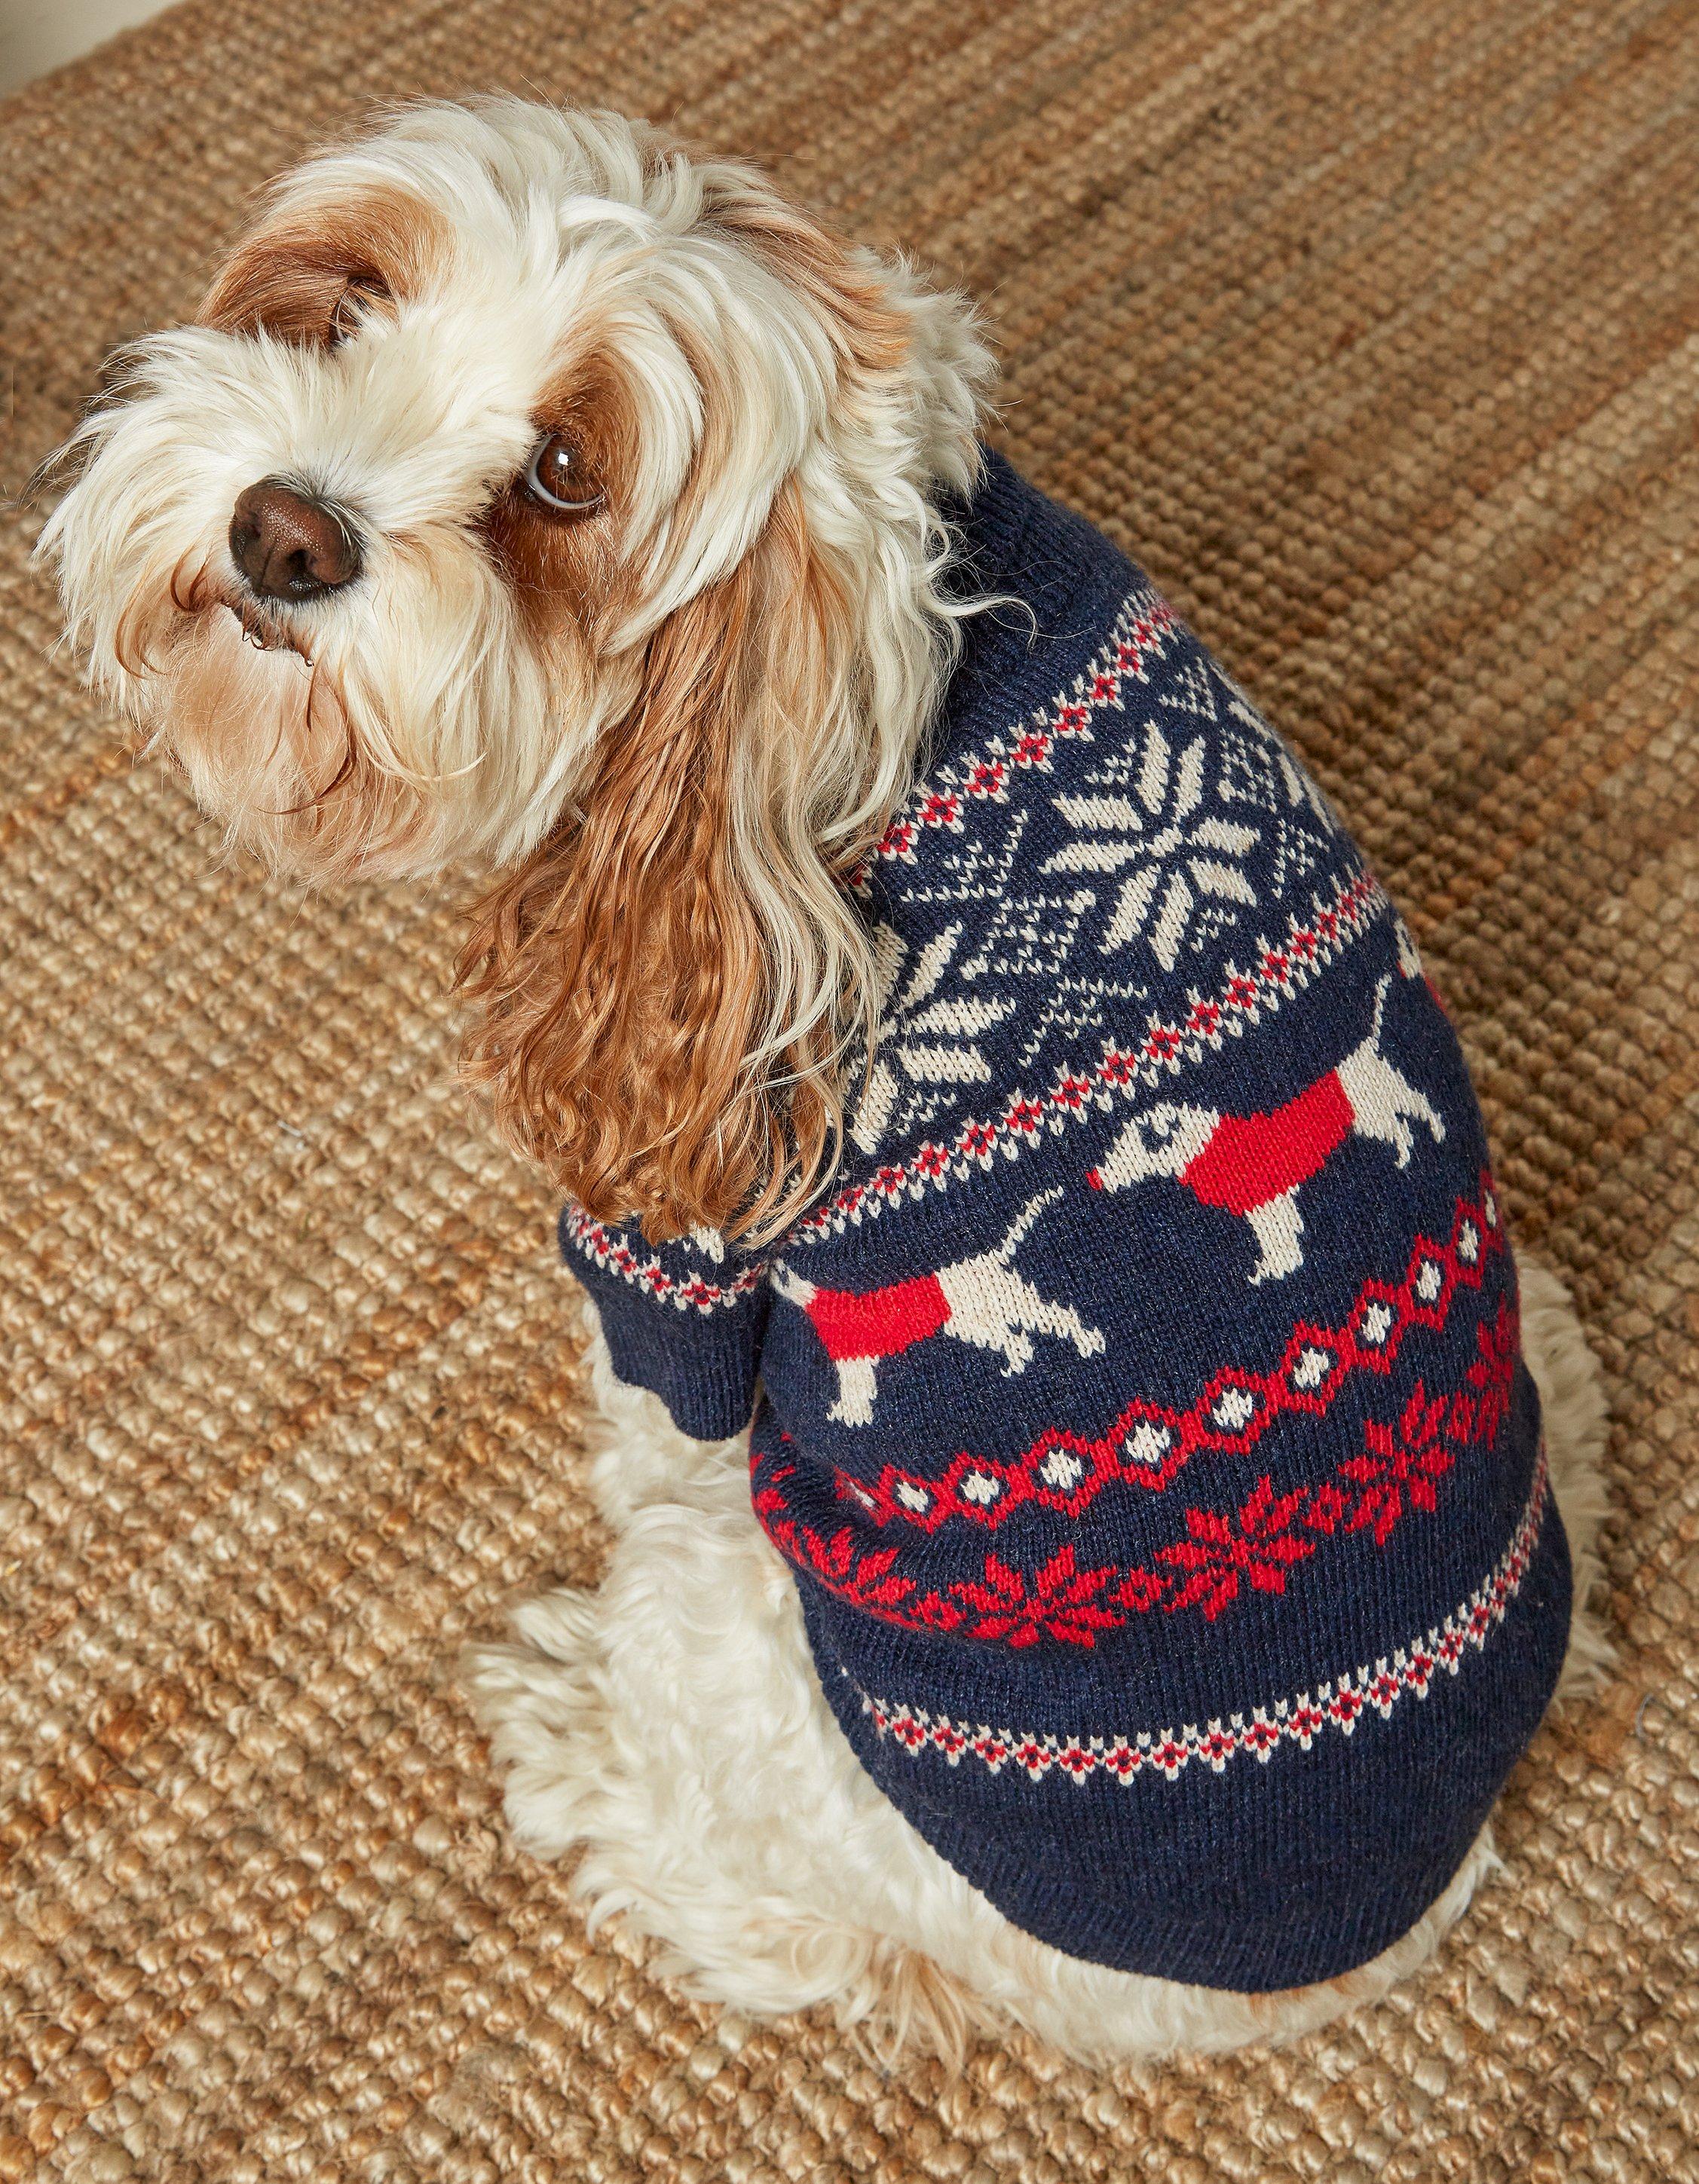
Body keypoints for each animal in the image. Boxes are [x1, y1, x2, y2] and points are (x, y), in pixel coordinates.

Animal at [36, 93, 1598, 2061]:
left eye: (568, 473)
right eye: (345, 302)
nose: (284, 532)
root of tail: (1348, 1953)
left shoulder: (677, 1287)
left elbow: (655, 1410)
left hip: (744, 1635)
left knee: (772, 1905)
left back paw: (575, 1743)